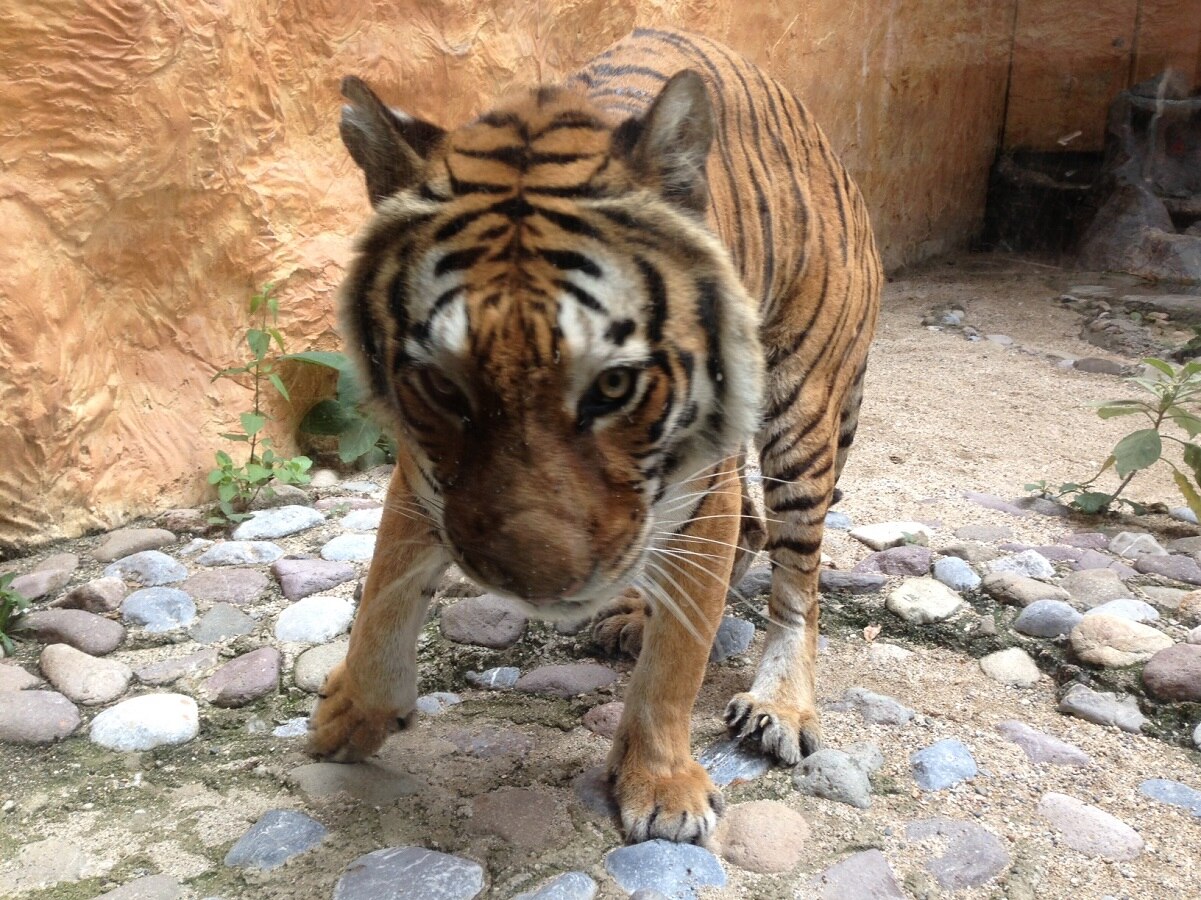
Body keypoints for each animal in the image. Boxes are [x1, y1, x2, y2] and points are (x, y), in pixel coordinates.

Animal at [310, 26, 881, 845]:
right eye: (444, 387)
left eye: (613, 386)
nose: (538, 587)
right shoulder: (424, 471)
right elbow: (385, 588)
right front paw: (353, 713)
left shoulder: (699, 484)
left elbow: (678, 661)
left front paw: (661, 783)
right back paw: (634, 614)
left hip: (802, 414)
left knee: (797, 576)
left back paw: (780, 705)